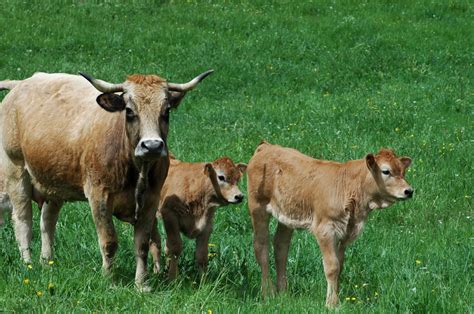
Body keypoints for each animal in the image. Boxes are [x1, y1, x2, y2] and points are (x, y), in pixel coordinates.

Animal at [0, 69, 213, 290]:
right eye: (129, 111)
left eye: (166, 111)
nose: (152, 146)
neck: (136, 170)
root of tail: (22, 83)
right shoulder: (99, 197)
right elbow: (109, 242)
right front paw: (109, 279)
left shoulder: (151, 201)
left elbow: (142, 244)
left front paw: (141, 284)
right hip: (15, 171)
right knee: (23, 220)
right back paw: (28, 263)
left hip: (53, 183)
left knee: (47, 221)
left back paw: (46, 261)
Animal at [246, 142, 412, 306]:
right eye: (386, 171)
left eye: (403, 171)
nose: (409, 191)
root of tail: (266, 146)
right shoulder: (325, 229)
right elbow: (332, 266)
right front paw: (331, 304)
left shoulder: (346, 231)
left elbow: (340, 264)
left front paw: (336, 299)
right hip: (258, 208)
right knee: (261, 247)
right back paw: (268, 293)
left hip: (286, 217)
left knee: (281, 247)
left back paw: (283, 293)